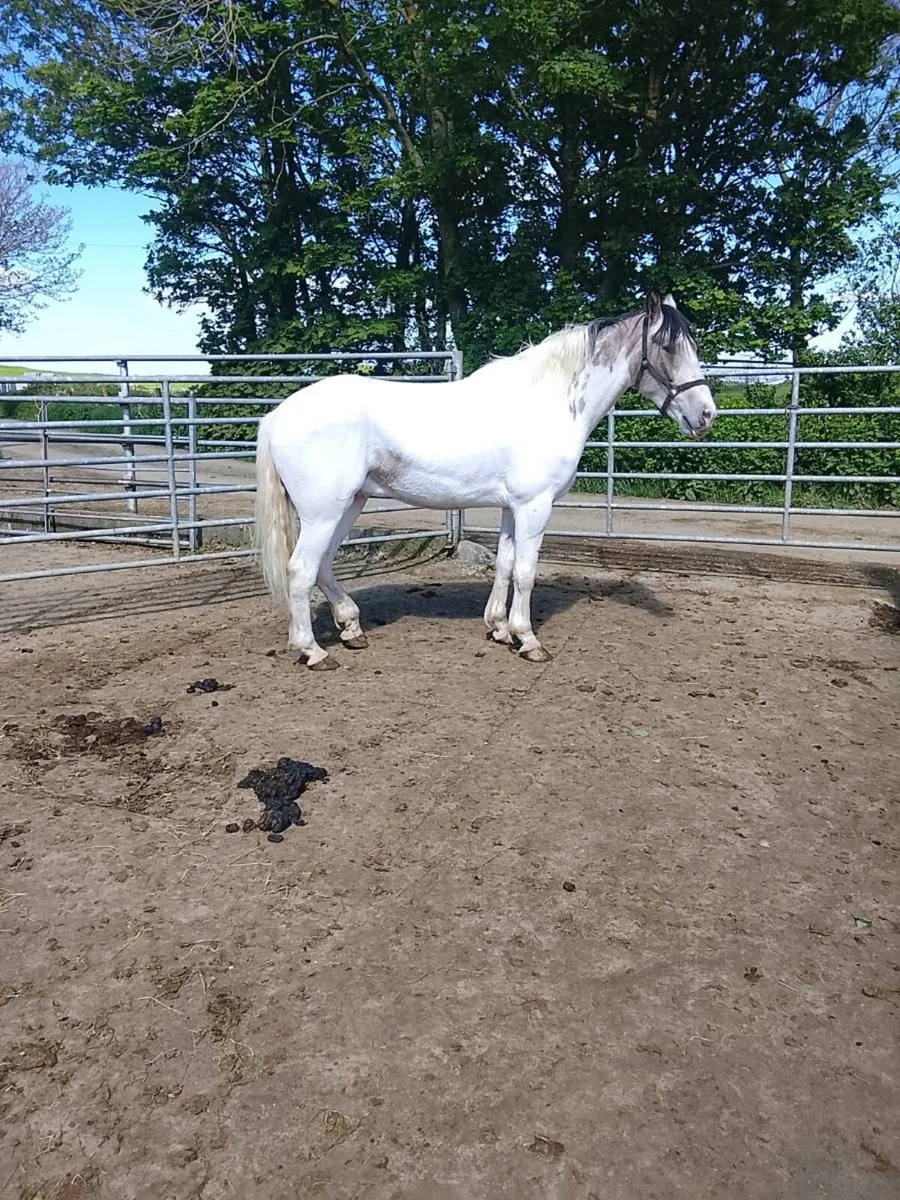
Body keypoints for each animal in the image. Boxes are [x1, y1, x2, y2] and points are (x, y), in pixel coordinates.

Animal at [254, 291, 716, 669]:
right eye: (668, 346)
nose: (707, 414)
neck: (550, 403)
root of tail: (279, 414)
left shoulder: (513, 507)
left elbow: (506, 564)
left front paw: (499, 628)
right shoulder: (535, 505)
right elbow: (527, 570)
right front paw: (528, 640)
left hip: (349, 504)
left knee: (323, 565)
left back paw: (351, 629)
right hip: (323, 512)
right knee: (301, 569)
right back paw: (313, 651)